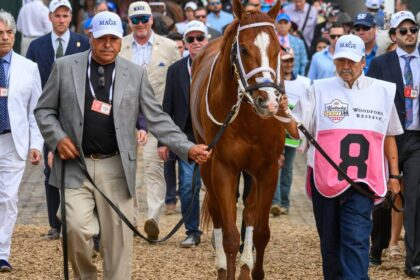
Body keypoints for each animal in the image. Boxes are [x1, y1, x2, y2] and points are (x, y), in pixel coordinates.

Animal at [190, 0, 286, 280]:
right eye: (243, 49)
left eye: (278, 49)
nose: (269, 101)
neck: (249, 120)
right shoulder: (223, 167)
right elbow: (230, 235)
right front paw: (228, 269)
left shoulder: (268, 168)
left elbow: (261, 230)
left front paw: (254, 270)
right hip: (205, 160)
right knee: (217, 212)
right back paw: (223, 267)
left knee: (251, 211)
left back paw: (244, 266)